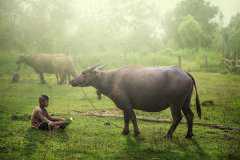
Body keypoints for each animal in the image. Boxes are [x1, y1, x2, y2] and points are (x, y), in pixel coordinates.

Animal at [69, 64, 201, 139]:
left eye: (84, 73)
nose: (71, 81)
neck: (112, 80)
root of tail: (185, 73)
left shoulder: (126, 104)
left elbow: (132, 117)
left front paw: (135, 132)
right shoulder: (126, 106)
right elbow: (127, 118)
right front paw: (126, 131)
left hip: (175, 103)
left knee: (178, 117)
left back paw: (168, 135)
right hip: (185, 102)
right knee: (190, 115)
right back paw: (189, 134)